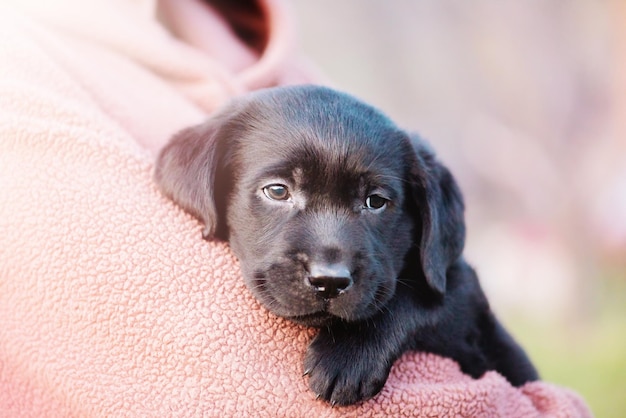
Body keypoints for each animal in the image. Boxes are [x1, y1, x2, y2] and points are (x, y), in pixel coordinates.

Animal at [152, 84, 536, 404]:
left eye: (376, 201)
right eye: (277, 190)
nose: (330, 281)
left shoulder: (461, 292)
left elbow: (414, 296)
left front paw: (349, 356)